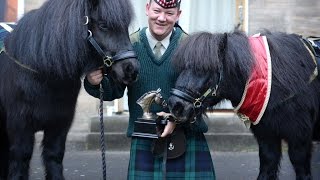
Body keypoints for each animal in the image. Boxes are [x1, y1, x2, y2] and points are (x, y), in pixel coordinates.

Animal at [0, 0, 140, 179]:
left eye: (125, 26)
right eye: (103, 25)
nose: (131, 69)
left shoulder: (59, 126)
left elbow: (54, 157)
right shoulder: (20, 127)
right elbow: (20, 160)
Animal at [168, 31, 320, 179]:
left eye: (205, 69)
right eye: (183, 67)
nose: (176, 106)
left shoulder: (299, 141)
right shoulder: (267, 138)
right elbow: (267, 167)